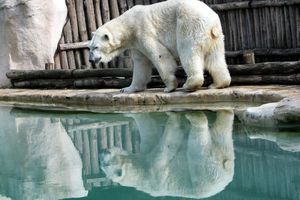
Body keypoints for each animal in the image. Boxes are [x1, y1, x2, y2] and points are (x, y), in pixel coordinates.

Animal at [88, 0, 231, 92]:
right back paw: (218, 84)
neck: (128, 25)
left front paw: (169, 87)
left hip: (189, 23)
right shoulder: (136, 43)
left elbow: (160, 55)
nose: (90, 59)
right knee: (215, 58)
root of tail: (212, 20)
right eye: (90, 47)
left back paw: (189, 85)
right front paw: (127, 89)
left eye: (95, 47)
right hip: (215, 37)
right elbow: (141, 64)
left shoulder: (143, 31)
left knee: (188, 51)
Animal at [101, 110, 234, 199]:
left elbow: (159, 139)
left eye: (106, 157)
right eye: (102, 163)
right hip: (210, 168)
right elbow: (158, 140)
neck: (140, 174)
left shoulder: (153, 170)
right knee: (213, 136)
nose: (102, 150)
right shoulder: (154, 168)